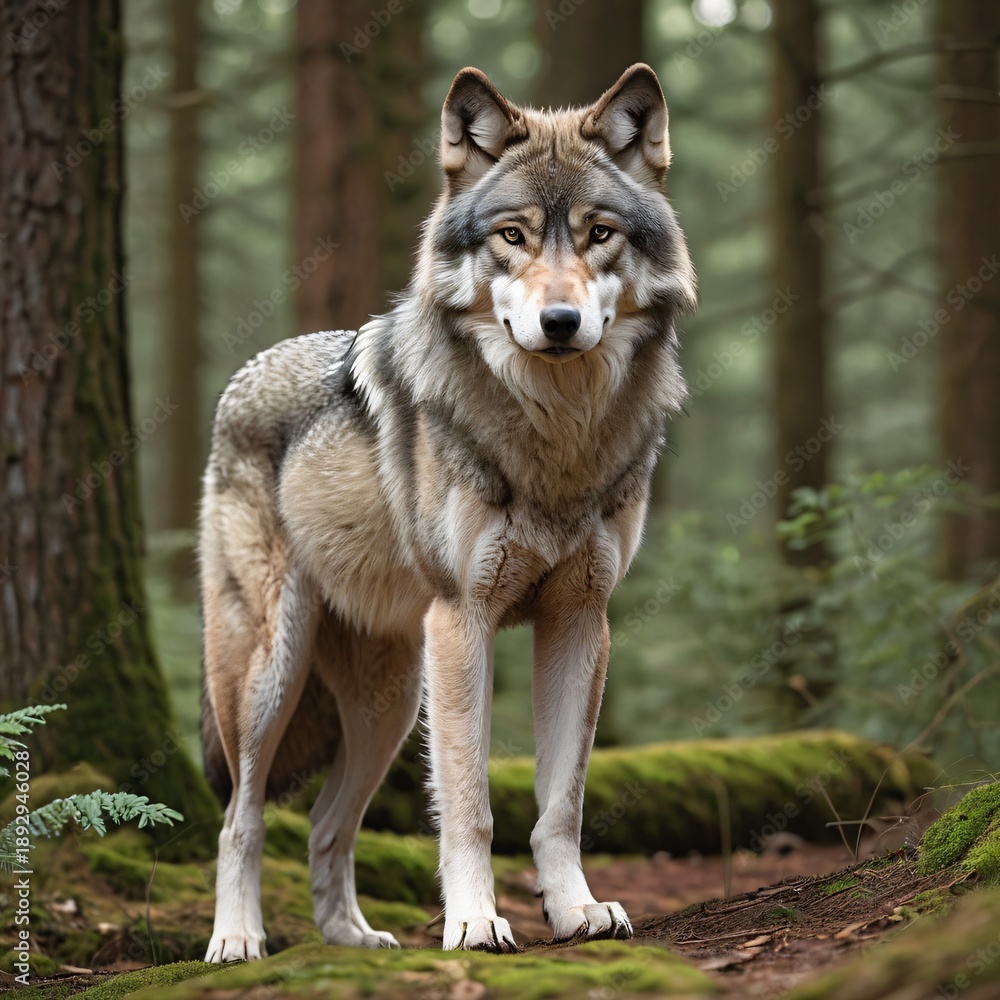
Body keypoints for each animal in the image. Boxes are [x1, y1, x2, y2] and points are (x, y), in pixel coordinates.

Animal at [200, 63, 696, 962]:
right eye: (513, 236)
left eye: (600, 233)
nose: (561, 322)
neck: (555, 435)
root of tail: (246, 373)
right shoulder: (464, 618)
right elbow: (468, 802)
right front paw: (473, 921)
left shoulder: (580, 618)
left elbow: (561, 804)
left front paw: (576, 910)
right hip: (272, 674)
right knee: (239, 816)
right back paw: (238, 939)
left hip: (392, 705)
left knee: (326, 823)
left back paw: (352, 937)